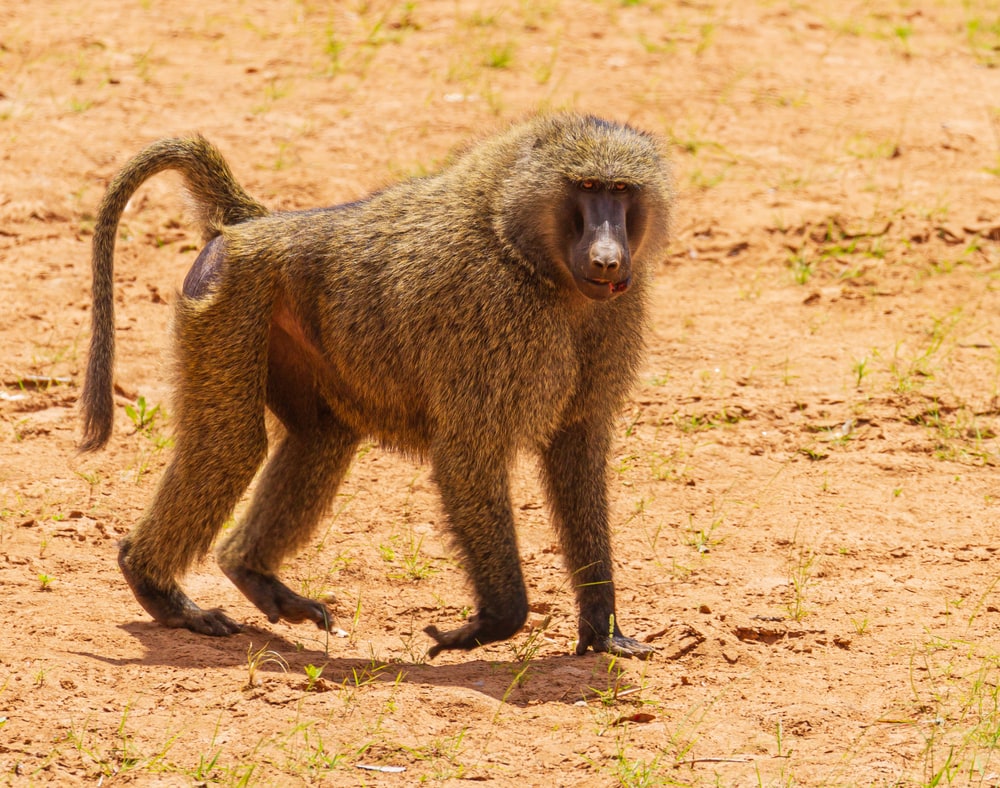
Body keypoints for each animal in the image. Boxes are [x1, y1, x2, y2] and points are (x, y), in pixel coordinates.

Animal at [81, 114, 673, 659]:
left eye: (621, 191)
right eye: (587, 187)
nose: (607, 259)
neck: (530, 254)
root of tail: (250, 226)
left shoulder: (610, 319)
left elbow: (578, 455)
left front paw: (603, 631)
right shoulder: (494, 318)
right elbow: (468, 454)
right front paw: (491, 623)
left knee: (321, 435)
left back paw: (252, 575)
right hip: (229, 300)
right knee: (232, 444)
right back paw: (157, 588)